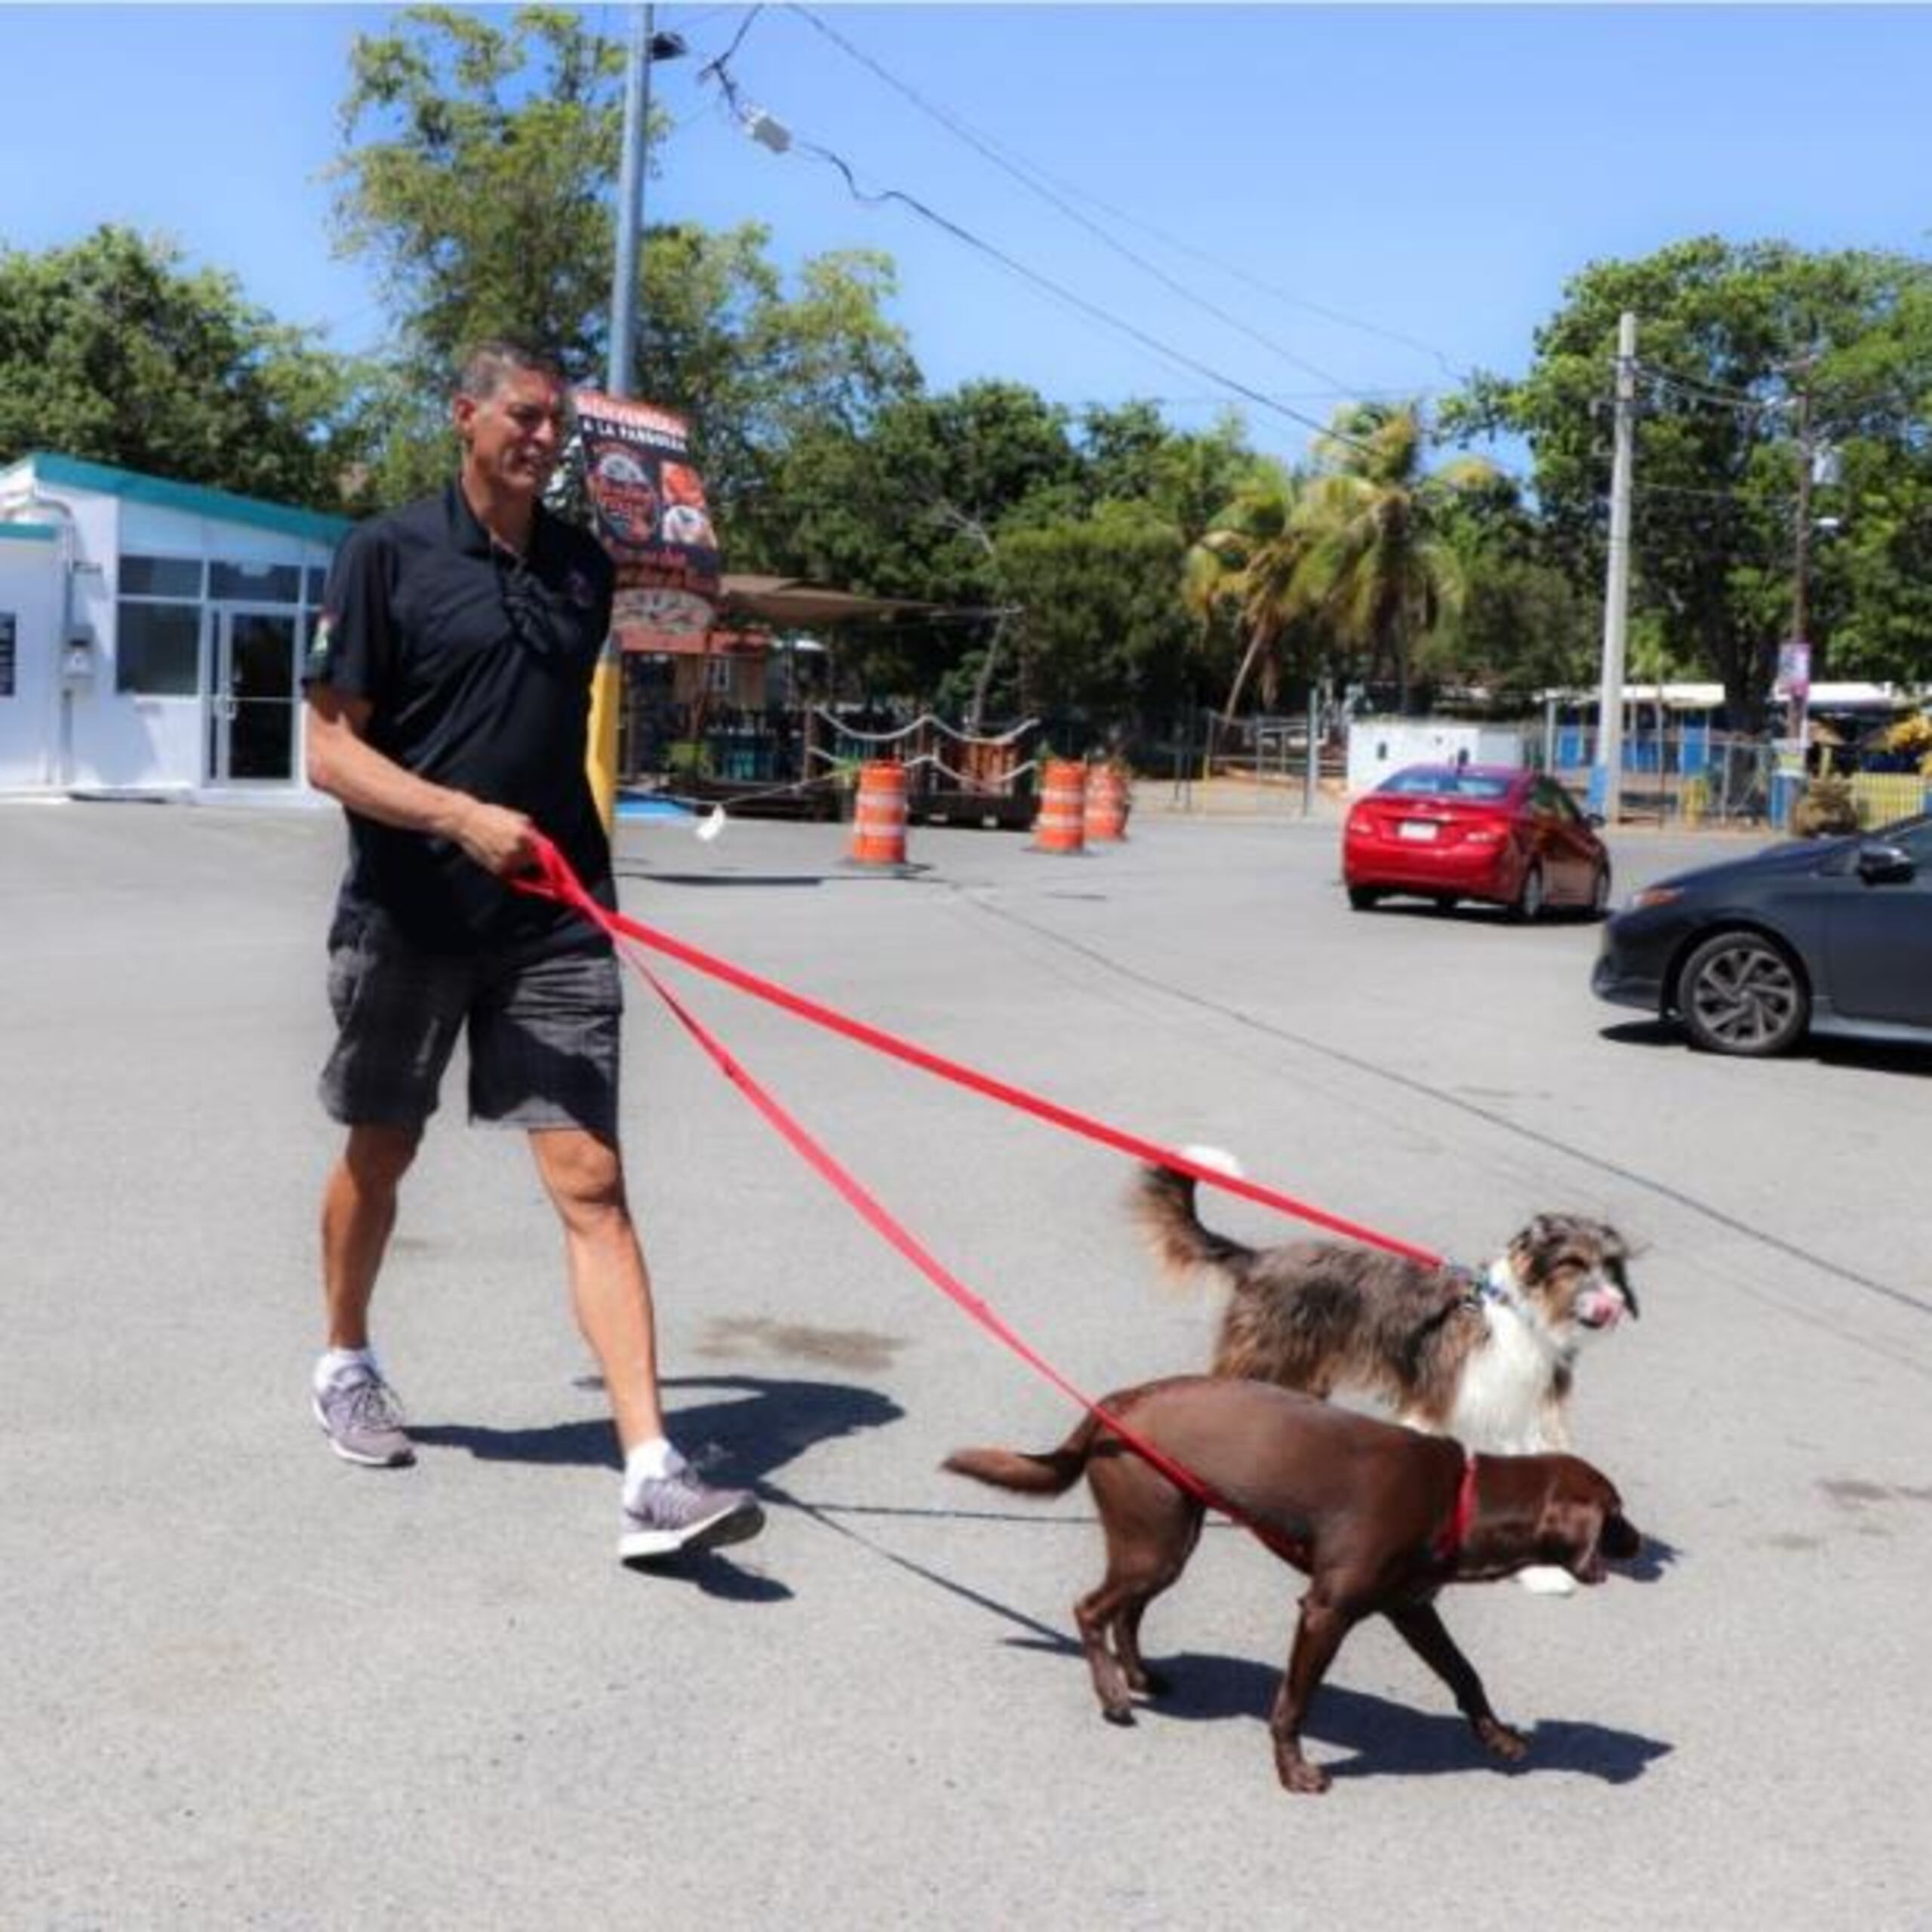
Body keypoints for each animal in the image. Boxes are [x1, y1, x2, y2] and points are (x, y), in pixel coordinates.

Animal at [943, 1375, 1638, 1792]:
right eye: (1617, 1513)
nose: (1638, 1543)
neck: (1461, 1497)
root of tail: (1114, 1406)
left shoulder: (1411, 1609)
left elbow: (1466, 1675)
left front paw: (1496, 1737)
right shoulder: (1325, 1611)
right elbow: (1294, 1702)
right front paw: (1294, 1770)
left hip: (1169, 1536)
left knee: (1126, 1613)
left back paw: (1138, 1676)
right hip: (1154, 1536)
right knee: (1092, 1609)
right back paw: (1114, 1696)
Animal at [1128, 1151, 1638, 1592]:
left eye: (1612, 1266)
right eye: (1573, 1263)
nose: (1611, 1305)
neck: (1515, 1314)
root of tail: (1260, 1258)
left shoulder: (1520, 1411)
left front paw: (1542, 1571)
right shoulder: (1436, 1403)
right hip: (1260, 1358)